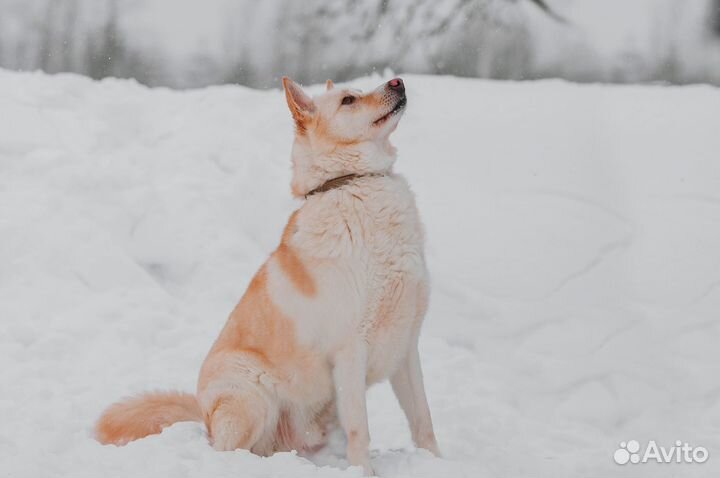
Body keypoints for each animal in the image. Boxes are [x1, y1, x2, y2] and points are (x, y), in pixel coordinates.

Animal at [95, 77, 438, 474]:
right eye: (349, 100)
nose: (398, 81)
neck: (354, 181)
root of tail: (203, 414)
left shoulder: (407, 348)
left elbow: (423, 420)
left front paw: (438, 462)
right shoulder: (350, 351)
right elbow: (361, 432)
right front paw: (363, 473)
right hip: (252, 399)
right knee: (226, 450)